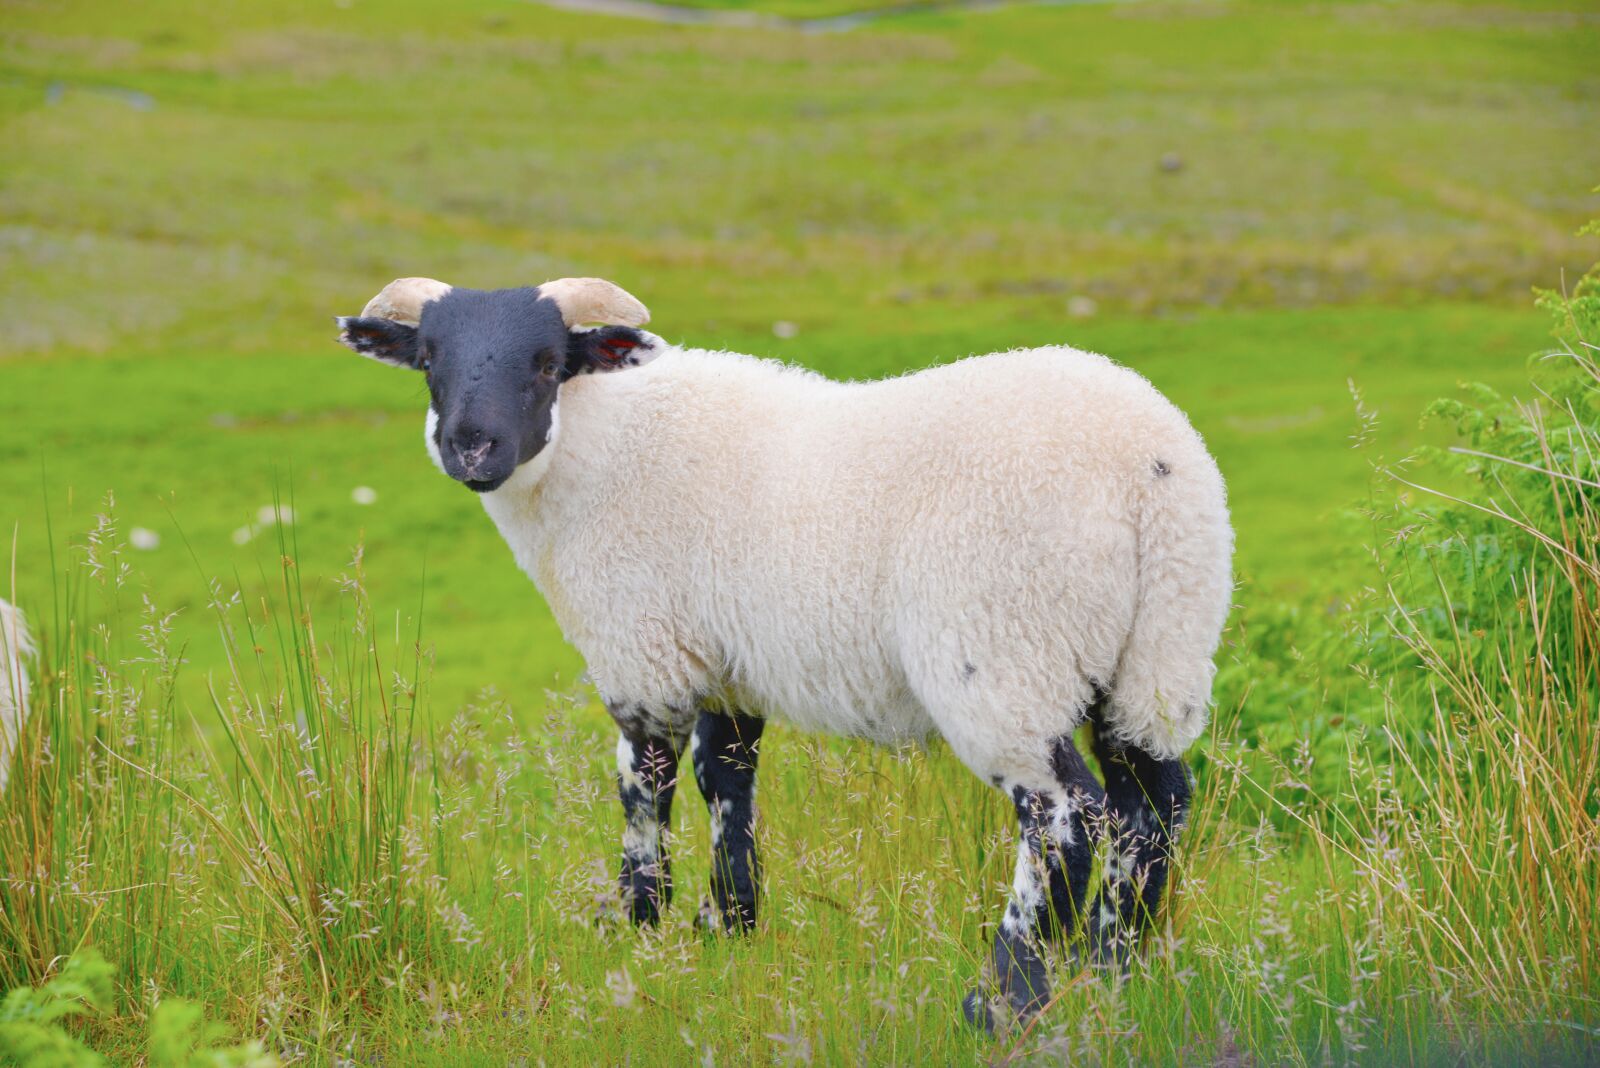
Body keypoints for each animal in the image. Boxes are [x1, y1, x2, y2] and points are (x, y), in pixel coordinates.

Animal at [334, 277, 1233, 1027]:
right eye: (428, 360)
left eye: (550, 362)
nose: (471, 448)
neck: (602, 450)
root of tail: (1147, 470)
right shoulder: (727, 665)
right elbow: (727, 782)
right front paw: (727, 927)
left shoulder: (642, 656)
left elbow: (645, 794)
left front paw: (638, 930)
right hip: (1156, 653)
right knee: (1153, 805)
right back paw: (1112, 973)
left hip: (1007, 649)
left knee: (1065, 818)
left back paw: (1004, 1000)